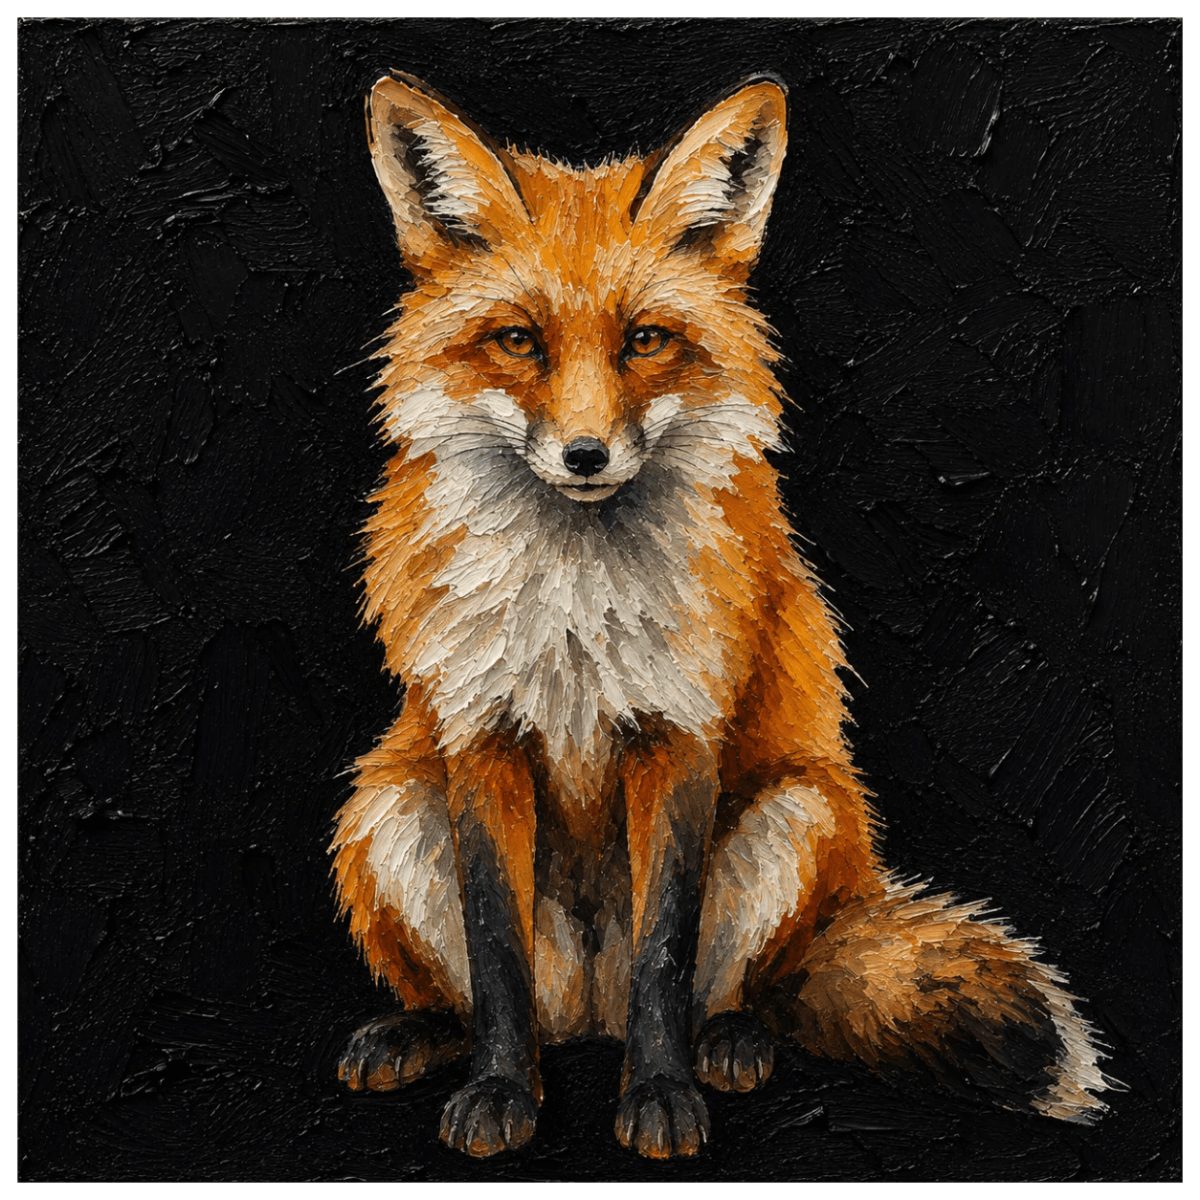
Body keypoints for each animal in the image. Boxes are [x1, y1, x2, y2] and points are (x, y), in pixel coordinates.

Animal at [330, 71, 1111, 1160]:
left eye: (646, 340)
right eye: (520, 341)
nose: (585, 454)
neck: (575, 604)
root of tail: (591, 1015)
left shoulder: (679, 731)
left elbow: (667, 948)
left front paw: (660, 1095)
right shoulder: (478, 738)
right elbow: (495, 958)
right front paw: (500, 1091)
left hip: (797, 811)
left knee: (738, 989)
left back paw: (727, 1044)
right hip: (387, 807)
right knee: (496, 994)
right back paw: (420, 1034)